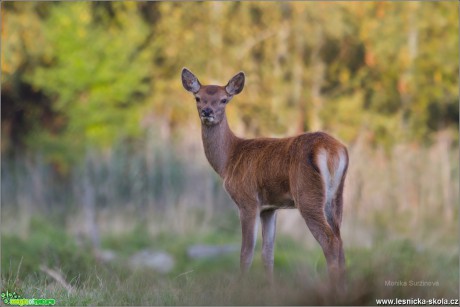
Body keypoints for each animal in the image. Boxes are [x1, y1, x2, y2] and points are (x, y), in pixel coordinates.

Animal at [181, 68, 346, 288]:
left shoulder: (247, 200)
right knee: (340, 239)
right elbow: (268, 254)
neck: (229, 159)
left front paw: (240, 287)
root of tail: (333, 150)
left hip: (308, 195)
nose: (207, 112)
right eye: (198, 98)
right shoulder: (269, 208)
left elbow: (246, 253)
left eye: (224, 99)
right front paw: (270, 288)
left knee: (330, 240)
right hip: (336, 197)